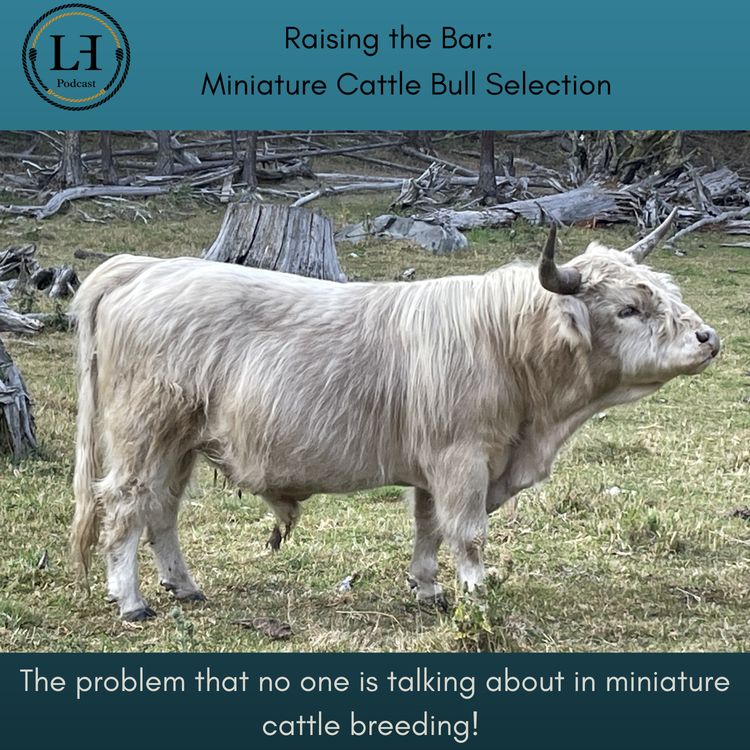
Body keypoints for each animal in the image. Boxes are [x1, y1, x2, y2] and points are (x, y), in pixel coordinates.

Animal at [70, 211, 719, 620]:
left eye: (669, 292)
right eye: (629, 308)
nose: (708, 337)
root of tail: (146, 267)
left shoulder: (433, 466)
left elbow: (428, 528)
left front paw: (428, 590)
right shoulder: (462, 458)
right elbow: (468, 533)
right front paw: (478, 597)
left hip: (179, 443)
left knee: (162, 509)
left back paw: (183, 587)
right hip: (144, 433)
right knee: (125, 504)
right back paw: (131, 601)